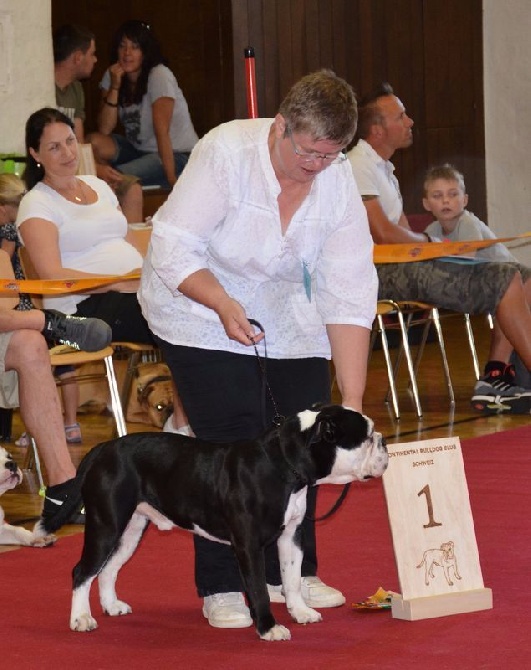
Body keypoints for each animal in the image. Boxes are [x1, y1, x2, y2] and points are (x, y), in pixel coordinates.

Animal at [40, 406, 386, 644]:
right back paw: (81, 619)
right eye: (367, 438)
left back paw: (112, 606)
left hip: (131, 529)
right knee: (83, 571)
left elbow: (292, 579)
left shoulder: (290, 537)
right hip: (106, 524)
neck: (285, 463)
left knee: (109, 568)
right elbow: (259, 589)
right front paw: (269, 628)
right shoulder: (248, 546)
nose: (383, 441)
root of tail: (102, 449)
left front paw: (300, 612)